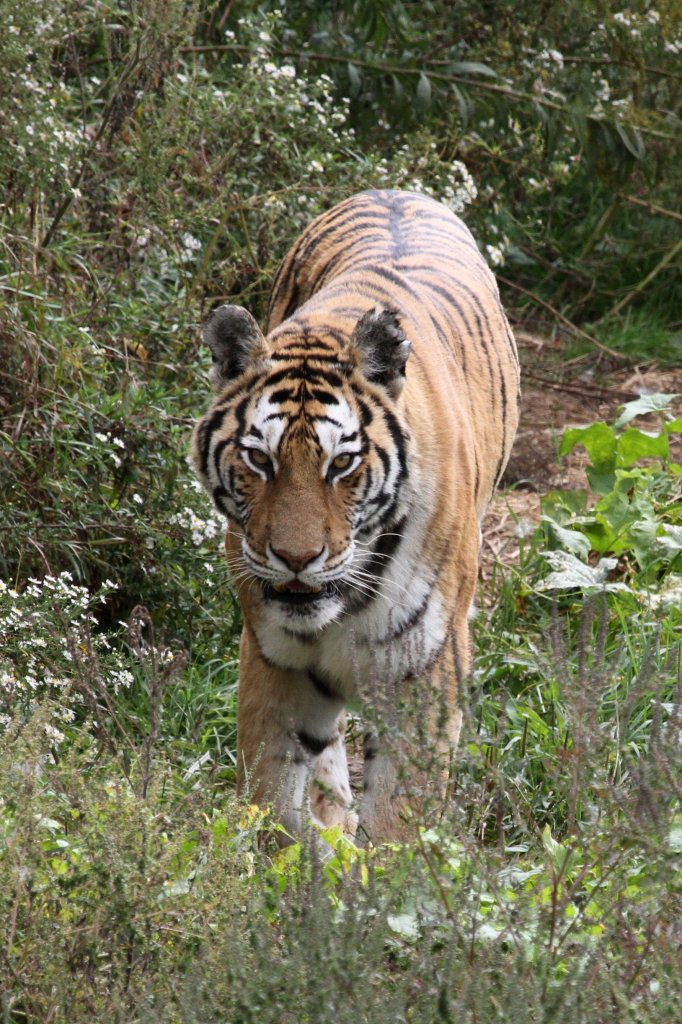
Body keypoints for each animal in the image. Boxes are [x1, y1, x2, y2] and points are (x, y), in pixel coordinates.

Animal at [188, 188, 518, 843]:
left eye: (341, 463)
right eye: (259, 459)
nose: (295, 558)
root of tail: (397, 190)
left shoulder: (425, 678)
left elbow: (399, 821)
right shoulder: (272, 659)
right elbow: (277, 802)